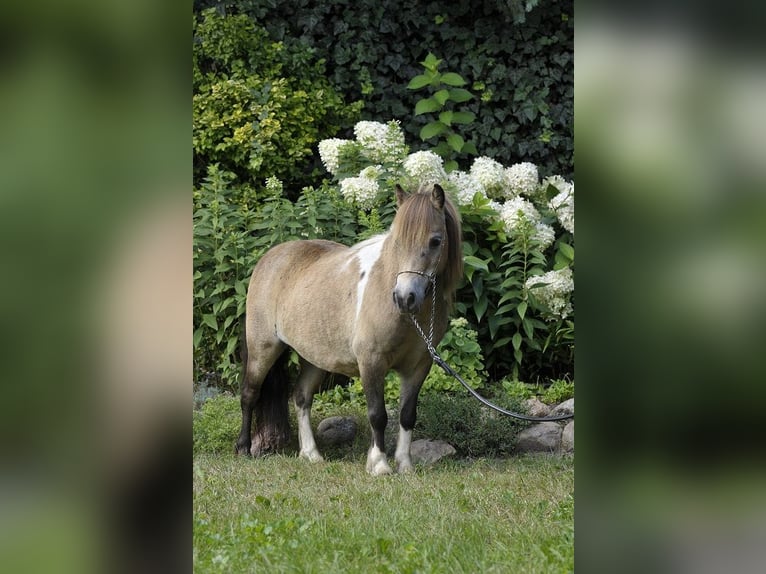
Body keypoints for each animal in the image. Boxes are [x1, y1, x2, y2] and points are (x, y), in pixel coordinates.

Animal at [236, 184, 462, 476]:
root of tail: (269, 258)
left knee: (301, 397)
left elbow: (407, 415)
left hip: (315, 358)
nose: (405, 298)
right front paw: (379, 465)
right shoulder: (371, 363)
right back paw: (243, 449)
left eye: (435, 241)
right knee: (249, 395)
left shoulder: (418, 367)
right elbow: (378, 415)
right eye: (397, 241)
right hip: (263, 349)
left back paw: (311, 454)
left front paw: (404, 464)